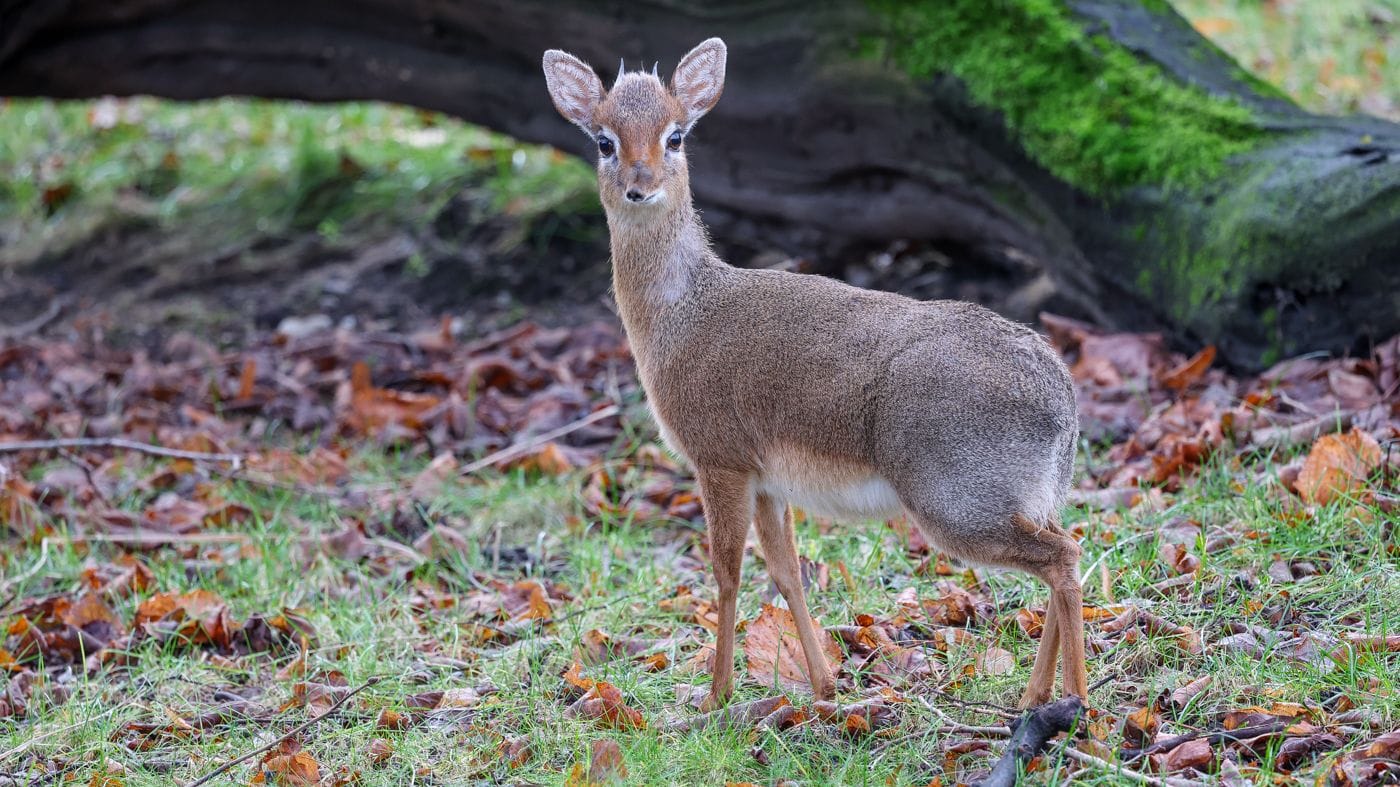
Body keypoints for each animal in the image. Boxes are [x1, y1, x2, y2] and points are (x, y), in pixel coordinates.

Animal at [540, 39, 1086, 708]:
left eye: (675, 135)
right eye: (603, 141)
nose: (639, 188)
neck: (679, 315)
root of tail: (1062, 400)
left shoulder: (718, 458)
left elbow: (726, 573)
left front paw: (716, 695)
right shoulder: (768, 479)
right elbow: (786, 572)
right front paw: (825, 685)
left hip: (956, 500)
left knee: (1064, 557)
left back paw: (1077, 701)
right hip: (1027, 496)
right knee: (1066, 548)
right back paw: (1037, 696)